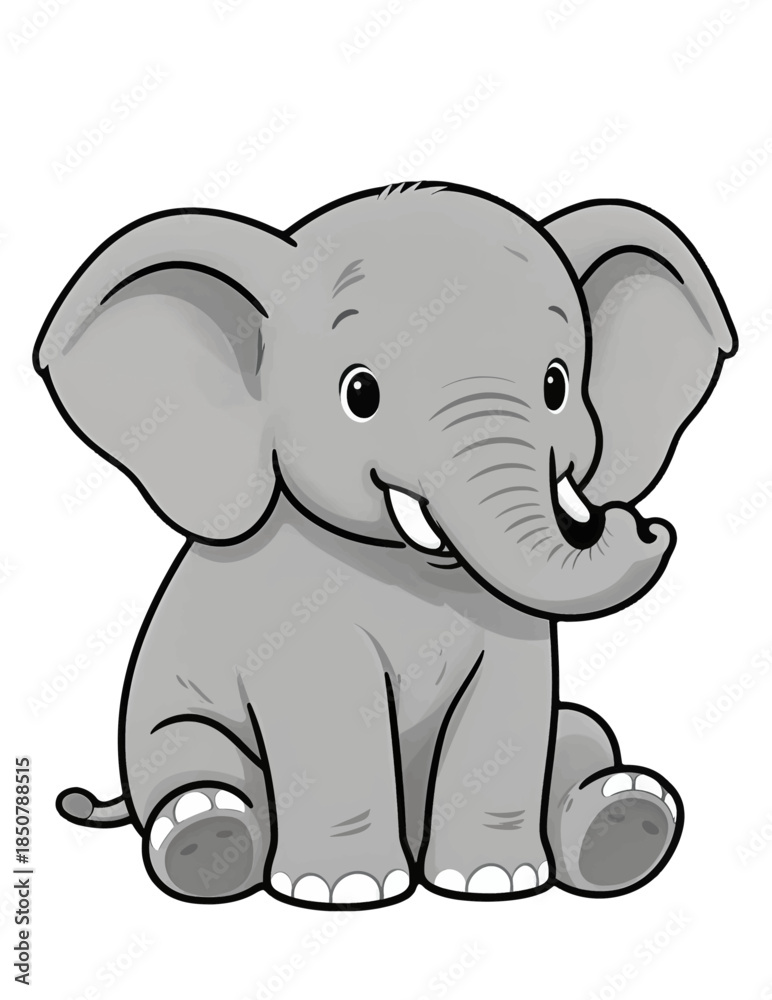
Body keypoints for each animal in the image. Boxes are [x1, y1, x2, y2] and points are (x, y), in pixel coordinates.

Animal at [34, 181, 736, 908]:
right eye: (360, 393)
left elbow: (515, 705)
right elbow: (333, 712)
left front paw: (492, 881)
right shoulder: (294, 609)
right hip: (161, 727)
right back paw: (206, 840)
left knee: (582, 731)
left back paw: (625, 822)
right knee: (187, 757)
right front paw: (343, 889)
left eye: (557, 385)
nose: (642, 525)